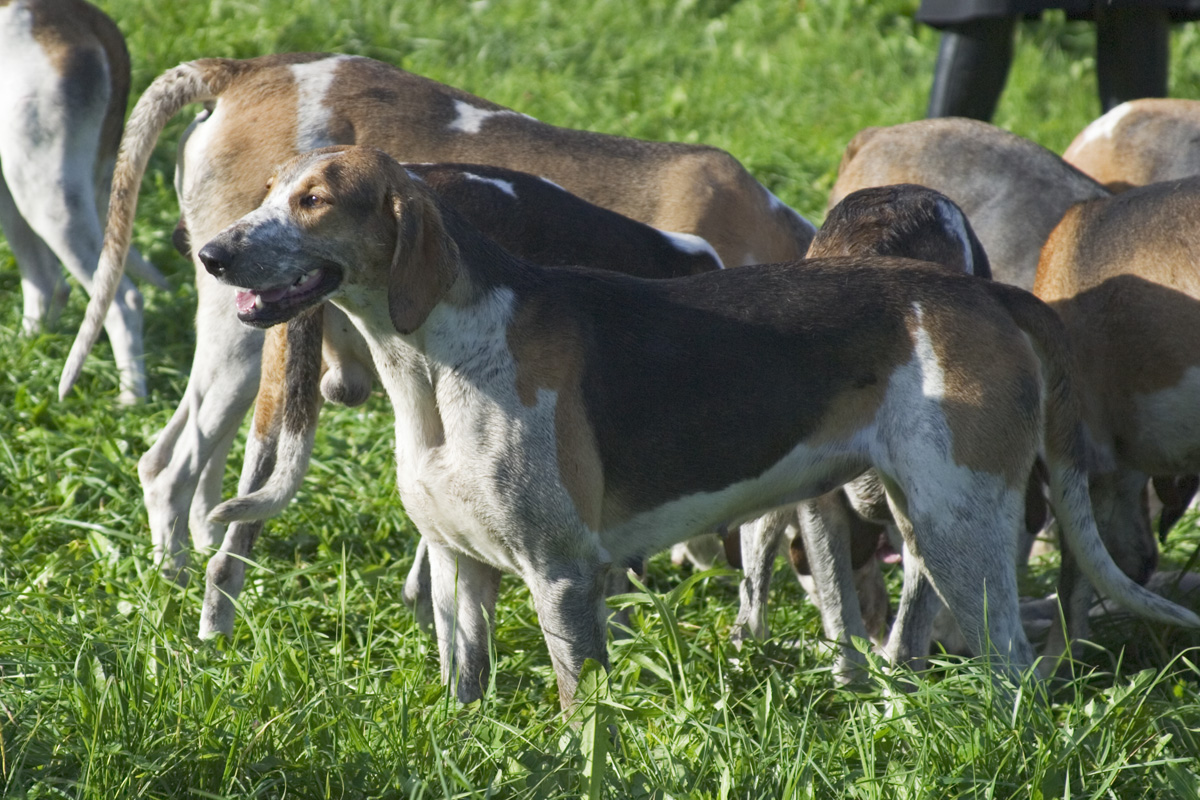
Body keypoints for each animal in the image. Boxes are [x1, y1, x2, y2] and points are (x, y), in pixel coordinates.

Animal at [0, 0, 163, 402]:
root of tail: (83, 14)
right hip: (15, 190)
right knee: (47, 285)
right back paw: (24, 353)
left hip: (48, 196)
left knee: (122, 300)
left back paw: (131, 398)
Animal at [56, 53, 816, 585]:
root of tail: (248, 69)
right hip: (235, 337)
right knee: (168, 466)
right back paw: (177, 578)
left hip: (246, 360)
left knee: (202, 466)